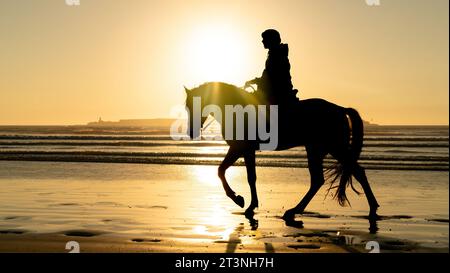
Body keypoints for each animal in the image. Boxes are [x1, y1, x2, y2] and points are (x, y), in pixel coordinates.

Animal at [183, 82, 380, 222]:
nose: (191, 132)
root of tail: (340, 109)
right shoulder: (246, 151)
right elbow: (249, 177)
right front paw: (249, 204)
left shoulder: (239, 148)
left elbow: (222, 171)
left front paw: (238, 199)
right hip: (319, 149)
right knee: (329, 177)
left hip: (331, 147)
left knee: (346, 174)